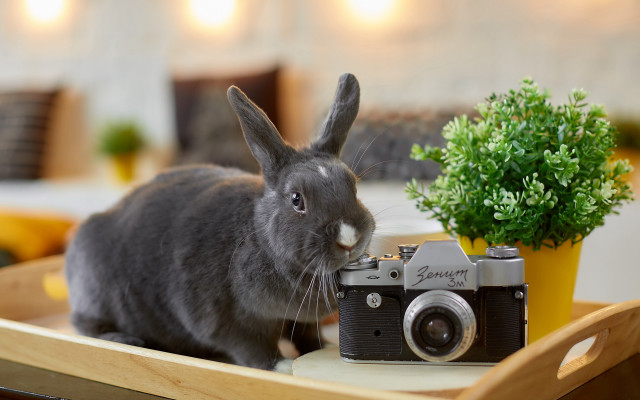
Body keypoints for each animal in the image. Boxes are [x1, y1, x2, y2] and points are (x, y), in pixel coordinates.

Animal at [65, 73, 375, 371]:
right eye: (297, 199)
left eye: (353, 186)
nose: (349, 239)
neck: (261, 242)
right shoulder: (223, 320)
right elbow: (251, 348)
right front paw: (284, 366)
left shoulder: (298, 319)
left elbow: (306, 334)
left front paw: (320, 350)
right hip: (96, 294)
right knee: (86, 326)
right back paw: (127, 340)